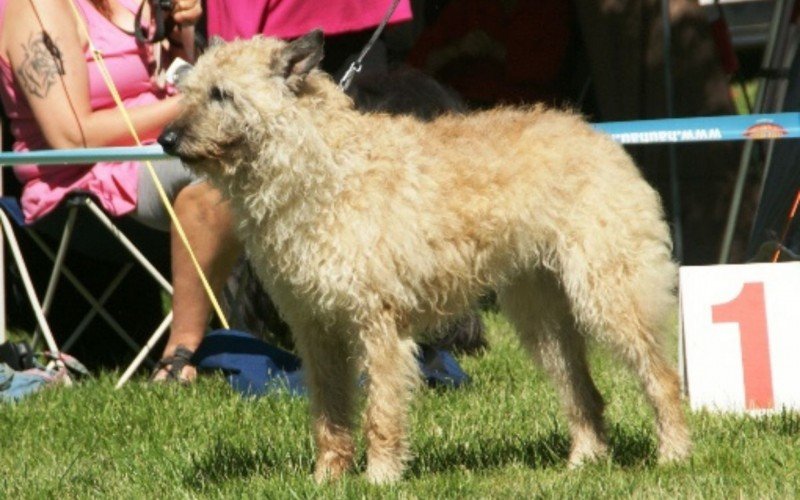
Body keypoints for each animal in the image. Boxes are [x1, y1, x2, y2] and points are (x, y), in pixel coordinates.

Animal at [159, 32, 692, 484]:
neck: (323, 169)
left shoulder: (377, 326)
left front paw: (379, 477)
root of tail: (597, 137)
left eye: (222, 94)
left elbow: (380, 411)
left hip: (611, 296)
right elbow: (329, 413)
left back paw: (673, 454)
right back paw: (583, 462)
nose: (166, 139)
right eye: (190, 90)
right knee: (584, 394)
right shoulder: (316, 330)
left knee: (663, 377)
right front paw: (327, 478)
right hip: (543, 316)